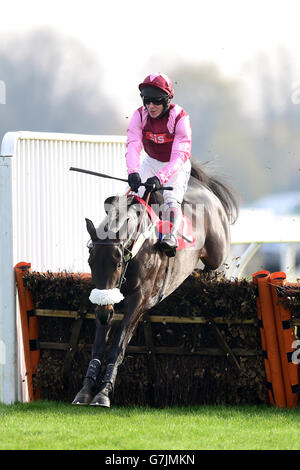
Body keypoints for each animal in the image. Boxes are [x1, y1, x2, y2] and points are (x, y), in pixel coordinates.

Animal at [71, 160, 238, 406]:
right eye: (90, 262)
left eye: (118, 264)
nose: (103, 314)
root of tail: (202, 186)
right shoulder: (106, 300)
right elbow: (99, 345)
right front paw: (85, 390)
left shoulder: (138, 299)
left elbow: (117, 347)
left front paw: (103, 393)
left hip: (217, 250)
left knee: (215, 264)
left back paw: (208, 276)